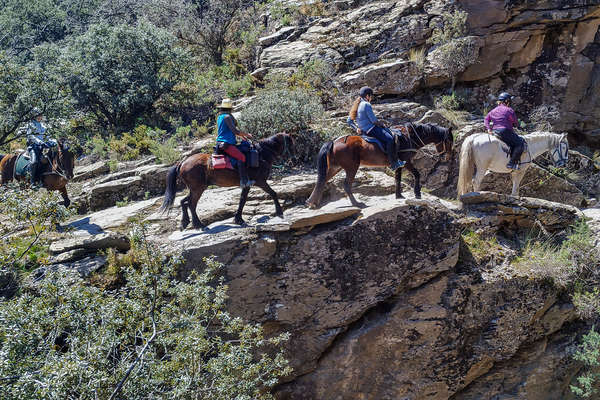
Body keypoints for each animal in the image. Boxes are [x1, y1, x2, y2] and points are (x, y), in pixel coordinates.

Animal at [158, 133, 292, 230]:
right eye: (292, 143)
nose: (293, 159)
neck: (261, 154)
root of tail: (182, 163)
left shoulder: (247, 185)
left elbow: (242, 200)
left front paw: (238, 219)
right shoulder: (260, 181)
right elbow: (273, 193)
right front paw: (279, 212)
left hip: (196, 188)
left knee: (184, 202)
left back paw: (185, 223)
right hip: (198, 189)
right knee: (191, 204)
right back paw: (199, 224)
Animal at [308, 123, 452, 208]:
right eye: (449, 140)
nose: (447, 156)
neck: (409, 137)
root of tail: (334, 142)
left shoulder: (399, 164)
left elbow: (398, 178)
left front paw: (398, 195)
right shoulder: (407, 162)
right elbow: (417, 174)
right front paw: (417, 193)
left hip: (335, 167)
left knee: (322, 180)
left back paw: (312, 202)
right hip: (351, 167)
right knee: (346, 185)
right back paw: (357, 204)